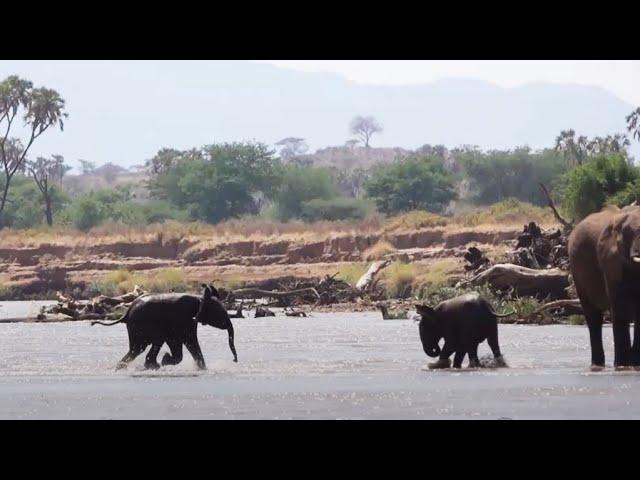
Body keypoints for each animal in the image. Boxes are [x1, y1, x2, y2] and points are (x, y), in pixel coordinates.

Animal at [568, 204, 640, 370]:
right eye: (628, 234)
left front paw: (634, 364)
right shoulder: (609, 259)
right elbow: (619, 306)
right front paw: (622, 366)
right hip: (577, 272)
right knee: (593, 317)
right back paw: (598, 365)